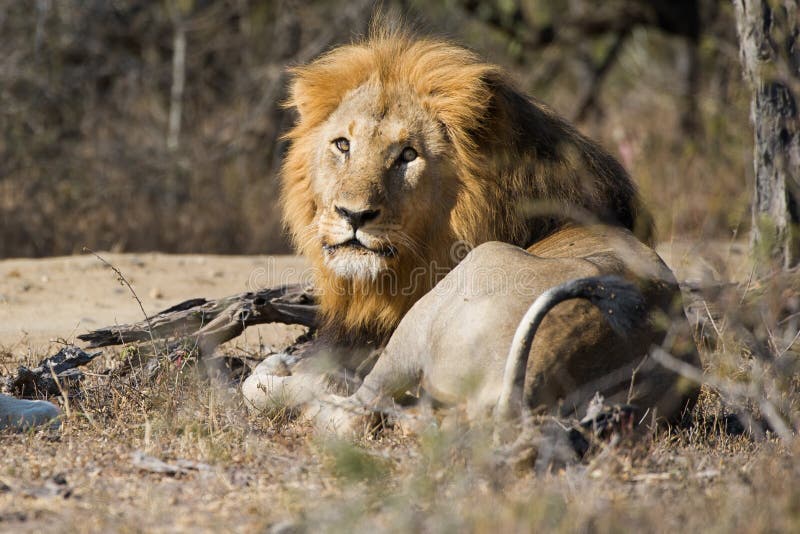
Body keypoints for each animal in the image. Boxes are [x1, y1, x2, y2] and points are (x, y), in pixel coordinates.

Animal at [241, 26, 696, 436]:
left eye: (408, 155)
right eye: (342, 145)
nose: (353, 214)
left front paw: (285, 365)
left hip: (429, 316)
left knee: (348, 411)